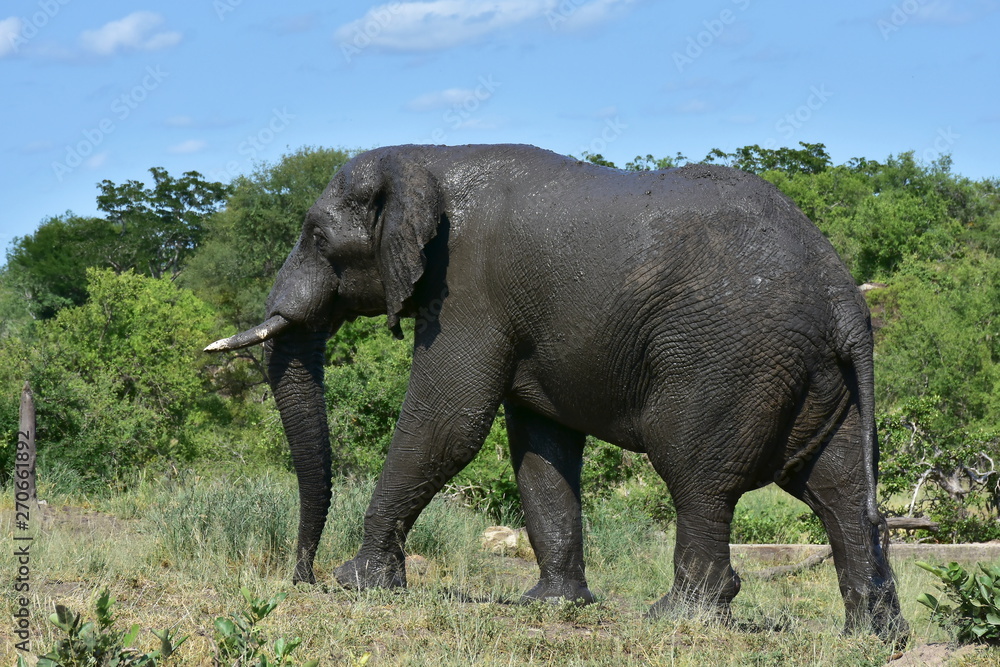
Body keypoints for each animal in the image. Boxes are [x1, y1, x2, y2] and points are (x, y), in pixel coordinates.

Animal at [205, 143, 907, 639]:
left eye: (318, 238)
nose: (302, 577)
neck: (424, 159)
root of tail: (845, 299)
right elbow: (540, 446)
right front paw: (551, 606)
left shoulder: (467, 290)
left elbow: (448, 423)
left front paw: (359, 585)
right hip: (817, 373)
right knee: (837, 487)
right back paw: (874, 639)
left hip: (728, 360)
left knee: (697, 474)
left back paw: (678, 617)